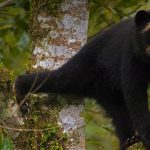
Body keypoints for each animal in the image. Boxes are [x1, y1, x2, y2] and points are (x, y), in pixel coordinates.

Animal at [14, 9, 150, 149]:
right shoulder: (132, 55)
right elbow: (135, 93)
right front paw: (147, 137)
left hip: (105, 89)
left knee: (118, 112)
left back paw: (128, 140)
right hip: (88, 65)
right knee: (62, 78)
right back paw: (21, 93)